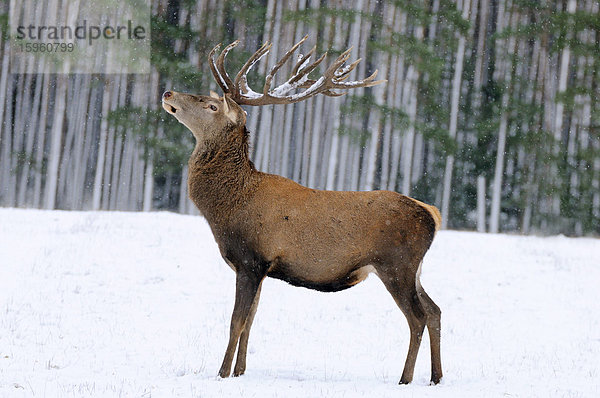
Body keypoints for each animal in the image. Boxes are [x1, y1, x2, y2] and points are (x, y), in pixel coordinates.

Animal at [162, 35, 442, 384]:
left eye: (211, 105)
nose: (168, 93)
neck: (225, 207)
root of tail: (431, 214)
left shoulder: (251, 259)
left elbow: (236, 321)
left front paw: (222, 373)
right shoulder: (260, 268)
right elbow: (251, 320)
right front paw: (240, 372)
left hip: (396, 264)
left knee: (417, 317)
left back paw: (405, 378)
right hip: (413, 269)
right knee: (434, 311)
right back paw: (436, 377)